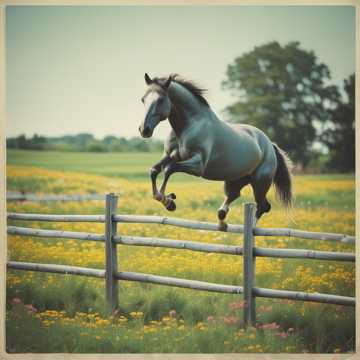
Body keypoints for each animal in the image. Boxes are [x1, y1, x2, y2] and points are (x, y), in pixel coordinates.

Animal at [138, 73, 292, 231]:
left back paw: (251, 228)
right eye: (143, 99)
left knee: (263, 206)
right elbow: (154, 170)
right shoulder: (169, 156)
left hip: (260, 183)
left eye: (160, 100)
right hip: (235, 180)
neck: (188, 126)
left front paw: (168, 200)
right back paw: (222, 220)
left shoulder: (197, 165)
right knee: (233, 197)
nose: (144, 130)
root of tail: (269, 144)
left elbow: (169, 169)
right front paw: (168, 199)